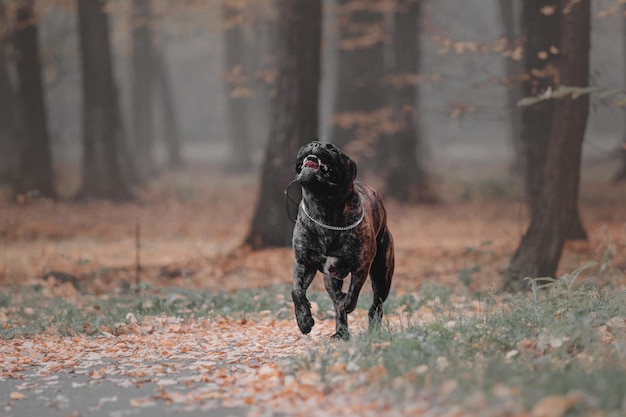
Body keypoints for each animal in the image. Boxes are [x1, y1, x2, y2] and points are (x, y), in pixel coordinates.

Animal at [290, 141, 392, 340]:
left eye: (332, 149)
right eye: (307, 144)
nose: (314, 144)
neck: (323, 207)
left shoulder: (361, 266)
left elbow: (353, 294)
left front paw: (346, 302)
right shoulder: (304, 263)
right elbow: (296, 291)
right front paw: (304, 320)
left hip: (382, 275)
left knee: (376, 305)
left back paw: (372, 328)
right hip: (330, 278)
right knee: (336, 299)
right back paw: (341, 333)